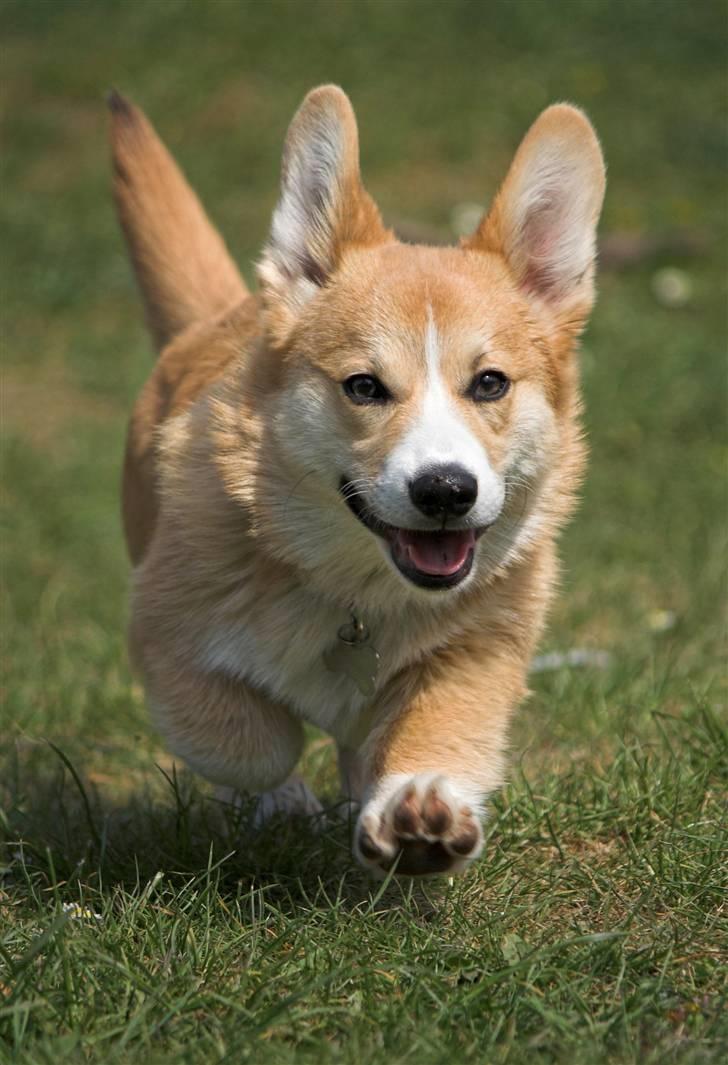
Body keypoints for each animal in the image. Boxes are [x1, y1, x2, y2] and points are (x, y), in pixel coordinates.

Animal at [110, 85, 604, 873]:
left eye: (490, 382)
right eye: (364, 387)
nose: (446, 490)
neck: (358, 593)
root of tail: (216, 315)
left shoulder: (476, 652)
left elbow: (435, 733)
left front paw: (418, 808)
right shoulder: (166, 635)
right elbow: (252, 739)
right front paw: (283, 798)